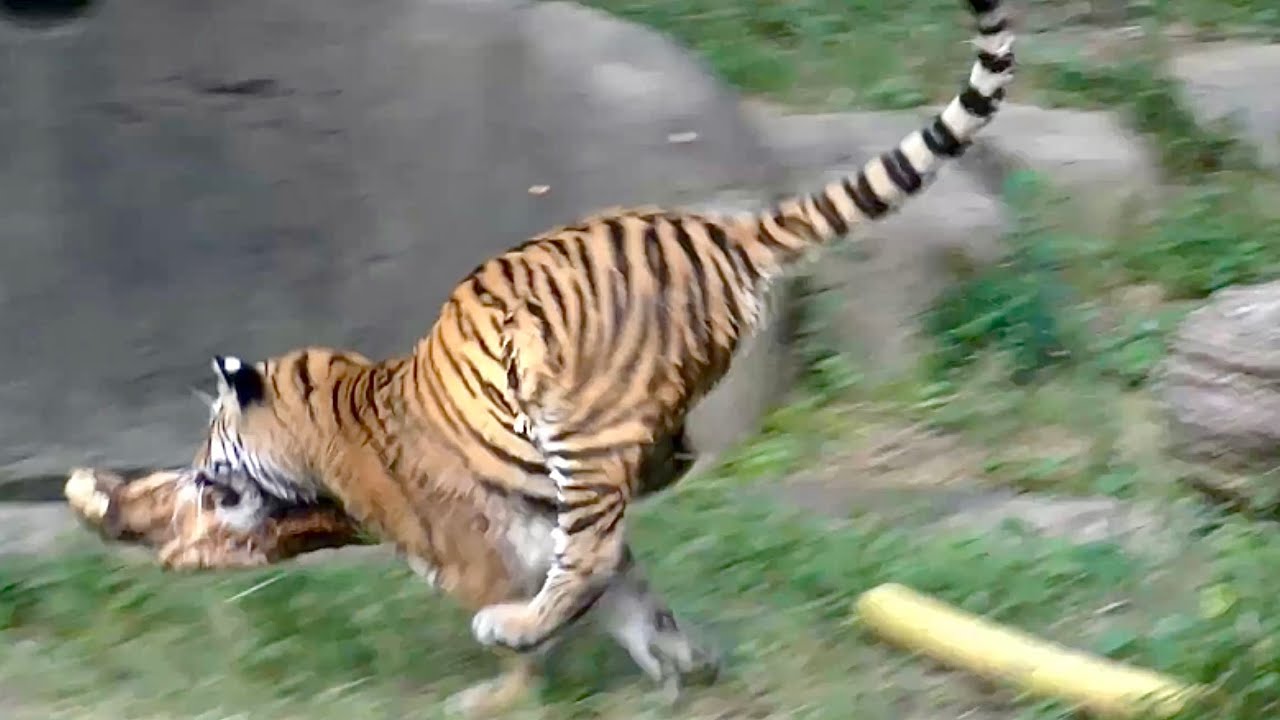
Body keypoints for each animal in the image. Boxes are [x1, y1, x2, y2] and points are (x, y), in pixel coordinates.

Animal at [73, 1, 1015, 714]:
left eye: (211, 445)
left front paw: (506, 678)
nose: (201, 476)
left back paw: (523, 621)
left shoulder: (462, 545)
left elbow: (558, 601)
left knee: (589, 546)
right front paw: (682, 667)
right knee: (637, 499)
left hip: (580, 421)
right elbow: (633, 598)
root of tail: (725, 229)